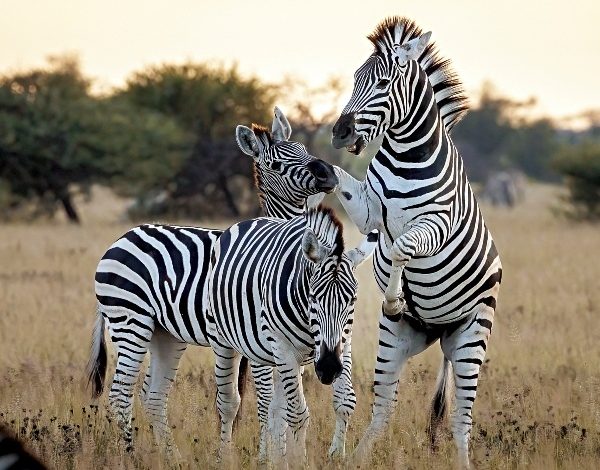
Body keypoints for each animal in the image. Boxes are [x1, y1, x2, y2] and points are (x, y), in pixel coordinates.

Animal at [85, 106, 338, 456]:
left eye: (303, 149)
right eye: (276, 164)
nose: (327, 172)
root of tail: (122, 237)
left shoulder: (290, 347)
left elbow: (278, 407)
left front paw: (278, 454)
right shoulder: (246, 342)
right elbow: (254, 402)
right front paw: (252, 456)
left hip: (164, 333)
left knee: (152, 395)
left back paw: (170, 457)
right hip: (130, 321)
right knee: (120, 395)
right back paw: (130, 456)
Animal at [328, 16, 502, 468]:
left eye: (383, 82)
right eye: (355, 79)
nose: (339, 132)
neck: (405, 158)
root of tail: (440, 333)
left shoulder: (436, 221)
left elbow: (400, 247)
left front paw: (393, 296)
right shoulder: (368, 210)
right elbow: (337, 176)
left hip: (470, 337)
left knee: (461, 419)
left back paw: (462, 462)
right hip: (398, 340)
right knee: (383, 408)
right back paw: (356, 458)